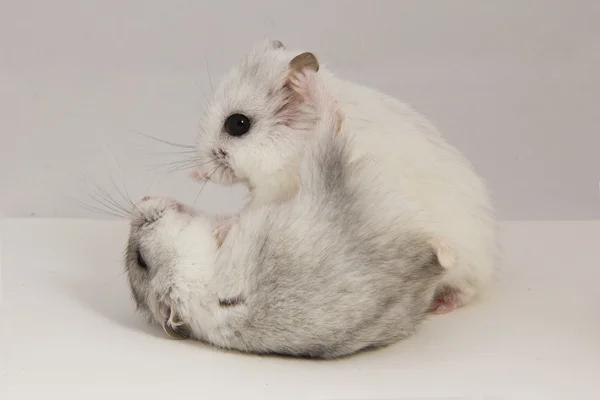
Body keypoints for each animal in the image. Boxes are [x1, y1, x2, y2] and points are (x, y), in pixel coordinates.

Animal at [124, 79, 448, 360]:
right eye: (141, 260)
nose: (141, 203)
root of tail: (423, 267)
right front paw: (221, 231)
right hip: (326, 173)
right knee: (331, 126)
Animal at [193, 39, 496, 314]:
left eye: (238, 124)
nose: (203, 173)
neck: (297, 142)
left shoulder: (277, 190)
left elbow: (248, 212)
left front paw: (219, 229)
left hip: (462, 262)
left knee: (468, 288)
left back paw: (440, 305)